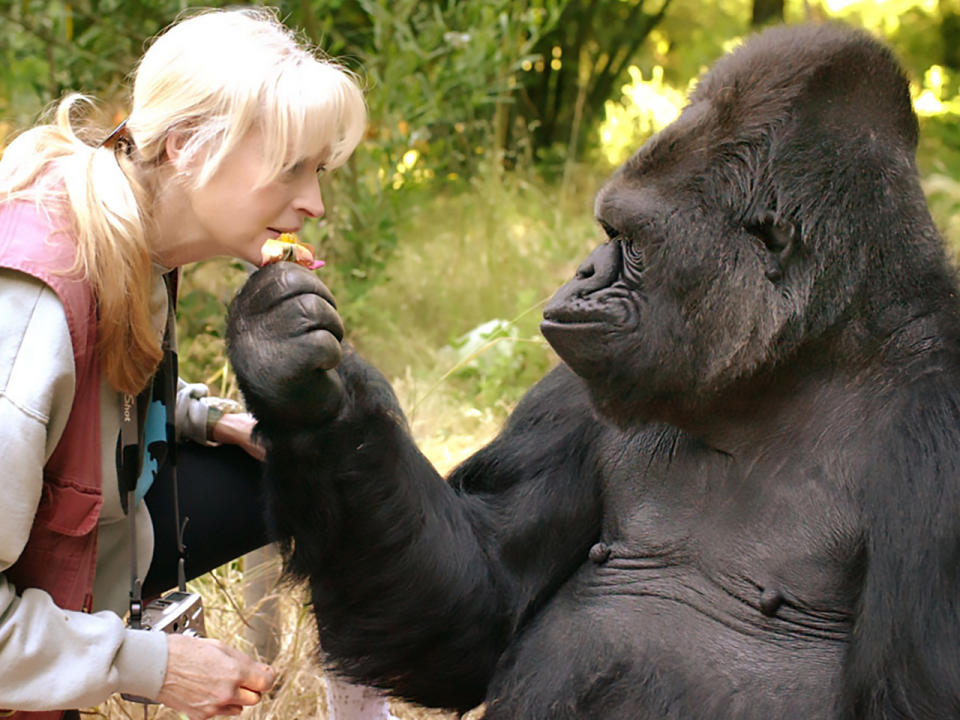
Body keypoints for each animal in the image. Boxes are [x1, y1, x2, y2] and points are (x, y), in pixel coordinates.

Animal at [227, 22, 960, 720]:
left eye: (629, 242)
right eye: (609, 233)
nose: (582, 271)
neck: (799, 362)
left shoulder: (940, 433)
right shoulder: (576, 391)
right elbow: (477, 601)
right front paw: (295, 380)